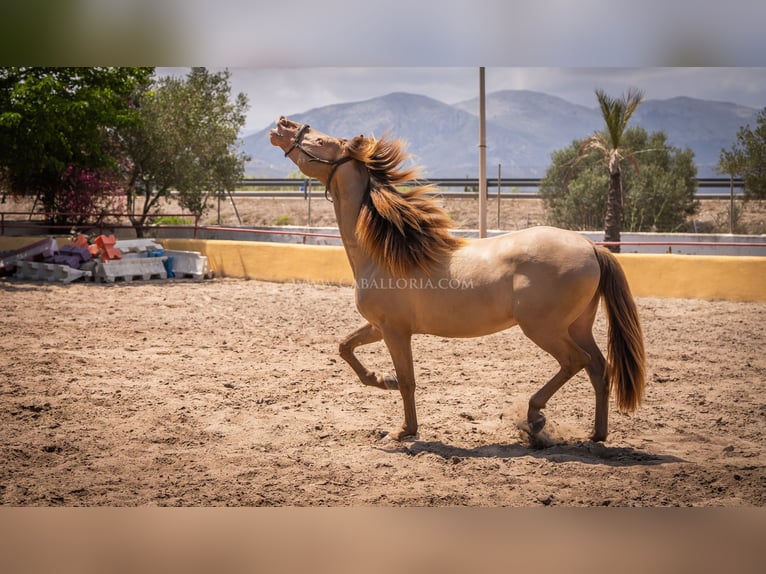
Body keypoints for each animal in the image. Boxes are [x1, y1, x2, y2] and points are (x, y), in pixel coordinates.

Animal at [272, 115, 648, 444]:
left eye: (321, 141)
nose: (282, 124)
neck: (385, 254)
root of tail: (591, 246)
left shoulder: (395, 331)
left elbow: (408, 380)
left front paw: (403, 430)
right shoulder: (379, 326)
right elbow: (345, 346)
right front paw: (381, 379)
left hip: (544, 328)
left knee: (576, 362)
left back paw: (534, 417)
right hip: (577, 326)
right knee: (599, 368)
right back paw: (596, 435)